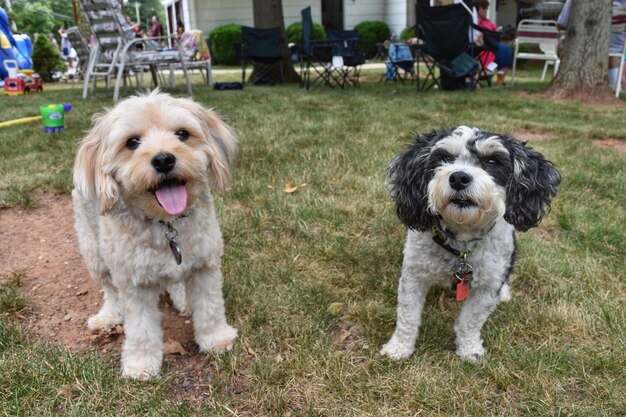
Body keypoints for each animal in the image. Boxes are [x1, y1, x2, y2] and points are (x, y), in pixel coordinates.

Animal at [72, 91, 236, 376]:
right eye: (132, 142)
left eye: (182, 134)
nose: (163, 159)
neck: (166, 224)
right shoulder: (133, 282)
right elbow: (141, 329)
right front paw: (141, 363)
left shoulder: (205, 265)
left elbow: (211, 307)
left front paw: (216, 338)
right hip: (93, 251)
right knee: (109, 290)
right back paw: (108, 316)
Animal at [378, 124, 560, 360]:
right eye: (444, 158)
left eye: (492, 161)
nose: (458, 178)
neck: (461, 243)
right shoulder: (413, 274)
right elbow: (407, 316)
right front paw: (398, 348)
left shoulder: (488, 286)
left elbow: (470, 322)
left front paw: (470, 351)